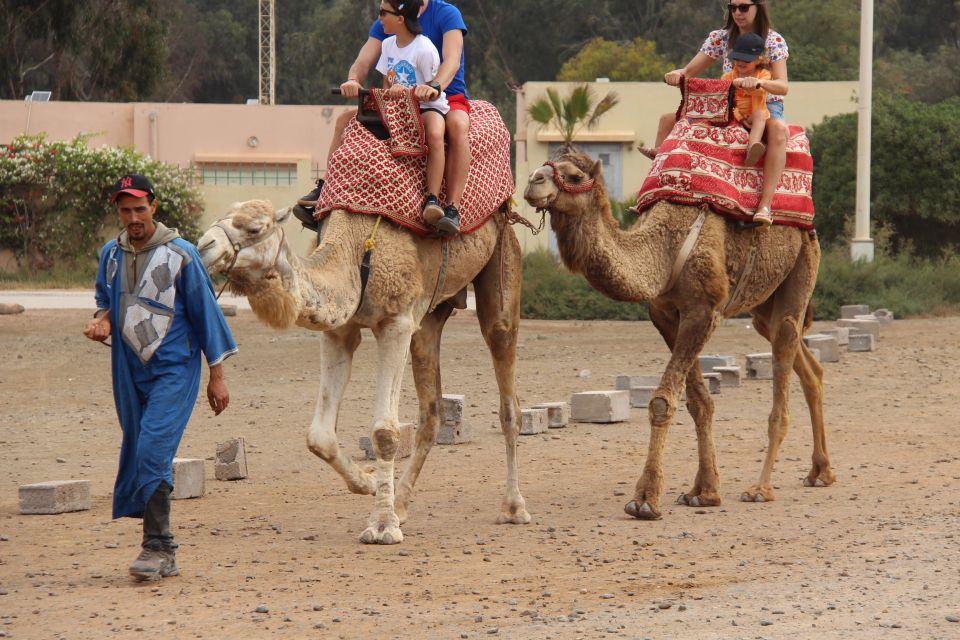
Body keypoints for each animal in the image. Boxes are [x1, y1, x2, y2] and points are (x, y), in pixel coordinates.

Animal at [197, 201, 532, 544]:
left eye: (255, 228)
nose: (203, 246)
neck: (354, 249)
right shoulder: (339, 331)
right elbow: (319, 436)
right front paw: (370, 484)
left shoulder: (396, 323)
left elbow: (384, 432)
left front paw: (382, 526)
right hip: (430, 316)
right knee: (431, 413)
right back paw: (401, 505)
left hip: (503, 266)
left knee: (508, 395)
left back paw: (513, 507)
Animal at [524, 154, 832, 520]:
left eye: (573, 175)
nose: (532, 180)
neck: (662, 250)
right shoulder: (666, 315)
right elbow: (699, 402)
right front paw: (705, 492)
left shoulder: (703, 311)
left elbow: (661, 401)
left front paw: (644, 499)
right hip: (763, 307)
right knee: (807, 364)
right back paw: (821, 472)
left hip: (802, 265)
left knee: (785, 343)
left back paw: (761, 488)